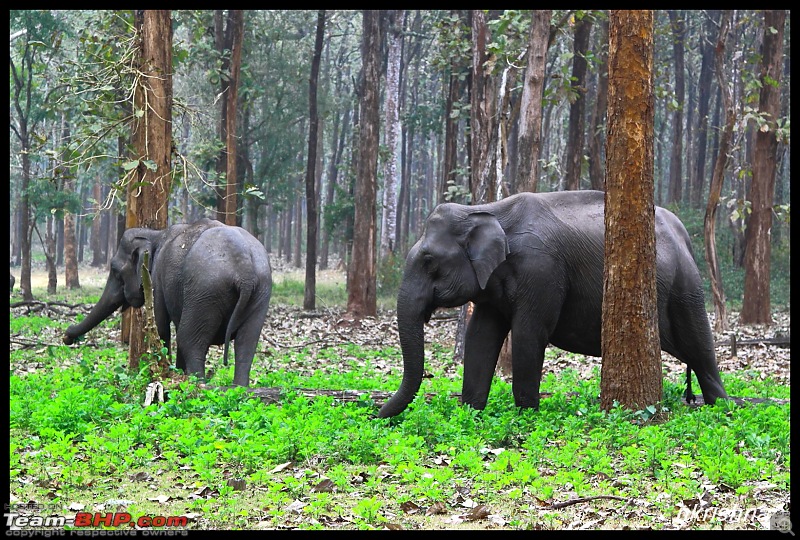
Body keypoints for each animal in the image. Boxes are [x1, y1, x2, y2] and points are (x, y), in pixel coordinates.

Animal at [63, 217, 276, 386]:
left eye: (115, 270)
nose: (67, 337)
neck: (156, 234)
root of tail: (245, 271)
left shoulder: (155, 280)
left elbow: (161, 327)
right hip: (260, 292)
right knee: (246, 344)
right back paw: (239, 389)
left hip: (206, 291)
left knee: (189, 339)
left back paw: (197, 386)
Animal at [378, 192, 728, 420]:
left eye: (428, 261)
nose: (377, 415)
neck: (485, 209)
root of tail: (684, 234)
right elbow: (481, 335)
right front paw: (470, 413)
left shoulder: (541, 269)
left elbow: (528, 334)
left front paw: (526, 418)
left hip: (686, 286)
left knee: (700, 347)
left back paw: (723, 409)